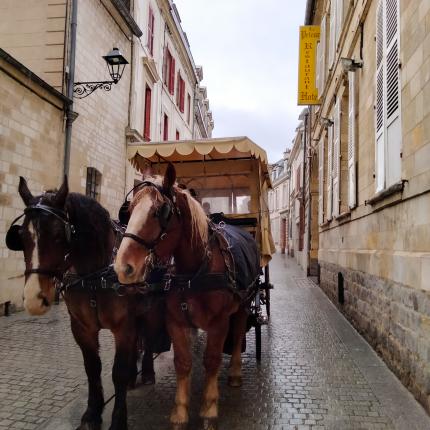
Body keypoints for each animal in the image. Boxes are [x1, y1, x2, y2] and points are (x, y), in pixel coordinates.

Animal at [8, 176, 166, 430]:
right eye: (21, 237)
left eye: (58, 235)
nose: (34, 299)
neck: (95, 274)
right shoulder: (82, 328)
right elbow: (93, 368)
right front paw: (92, 413)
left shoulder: (123, 326)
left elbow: (118, 371)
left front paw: (118, 418)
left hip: (148, 309)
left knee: (147, 338)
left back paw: (147, 372)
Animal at [114, 165, 250, 430]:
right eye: (129, 210)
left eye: (161, 211)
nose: (123, 267)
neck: (195, 271)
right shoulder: (175, 321)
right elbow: (183, 362)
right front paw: (180, 413)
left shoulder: (219, 322)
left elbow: (212, 360)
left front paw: (209, 410)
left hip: (245, 304)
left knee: (238, 333)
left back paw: (236, 373)